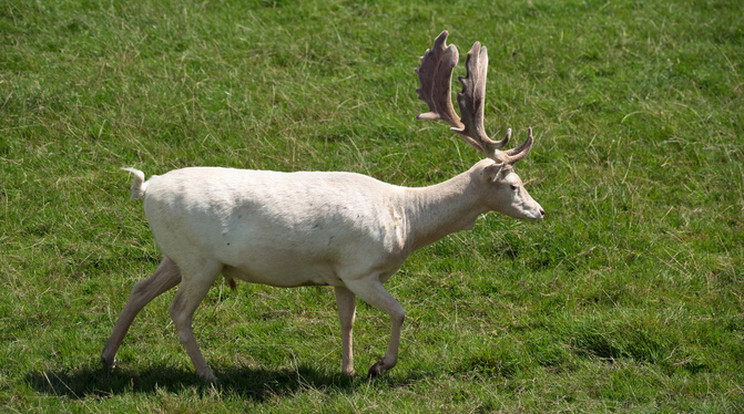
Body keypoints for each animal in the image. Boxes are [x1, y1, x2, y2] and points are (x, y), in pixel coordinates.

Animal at [101, 31, 544, 382]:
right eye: (515, 185)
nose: (540, 212)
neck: (406, 220)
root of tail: (146, 188)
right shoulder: (361, 268)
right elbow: (399, 312)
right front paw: (378, 366)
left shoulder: (340, 276)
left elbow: (346, 320)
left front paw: (348, 368)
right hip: (200, 261)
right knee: (178, 312)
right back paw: (207, 374)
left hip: (175, 256)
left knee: (138, 289)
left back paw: (108, 357)